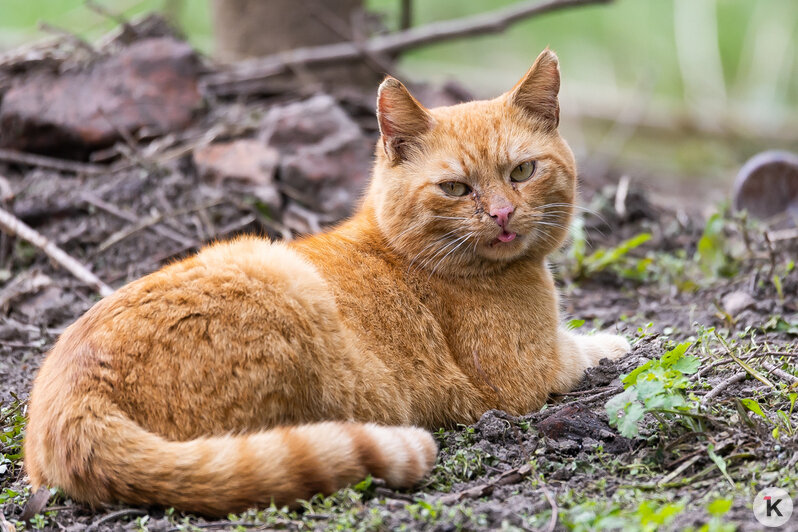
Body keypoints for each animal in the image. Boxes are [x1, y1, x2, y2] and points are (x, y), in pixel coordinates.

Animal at [26, 50, 632, 516]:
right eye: (456, 188)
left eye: (523, 172)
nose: (503, 214)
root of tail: (71, 402)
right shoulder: (526, 376)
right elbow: (589, 348)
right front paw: (616, 340)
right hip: (284, 292)